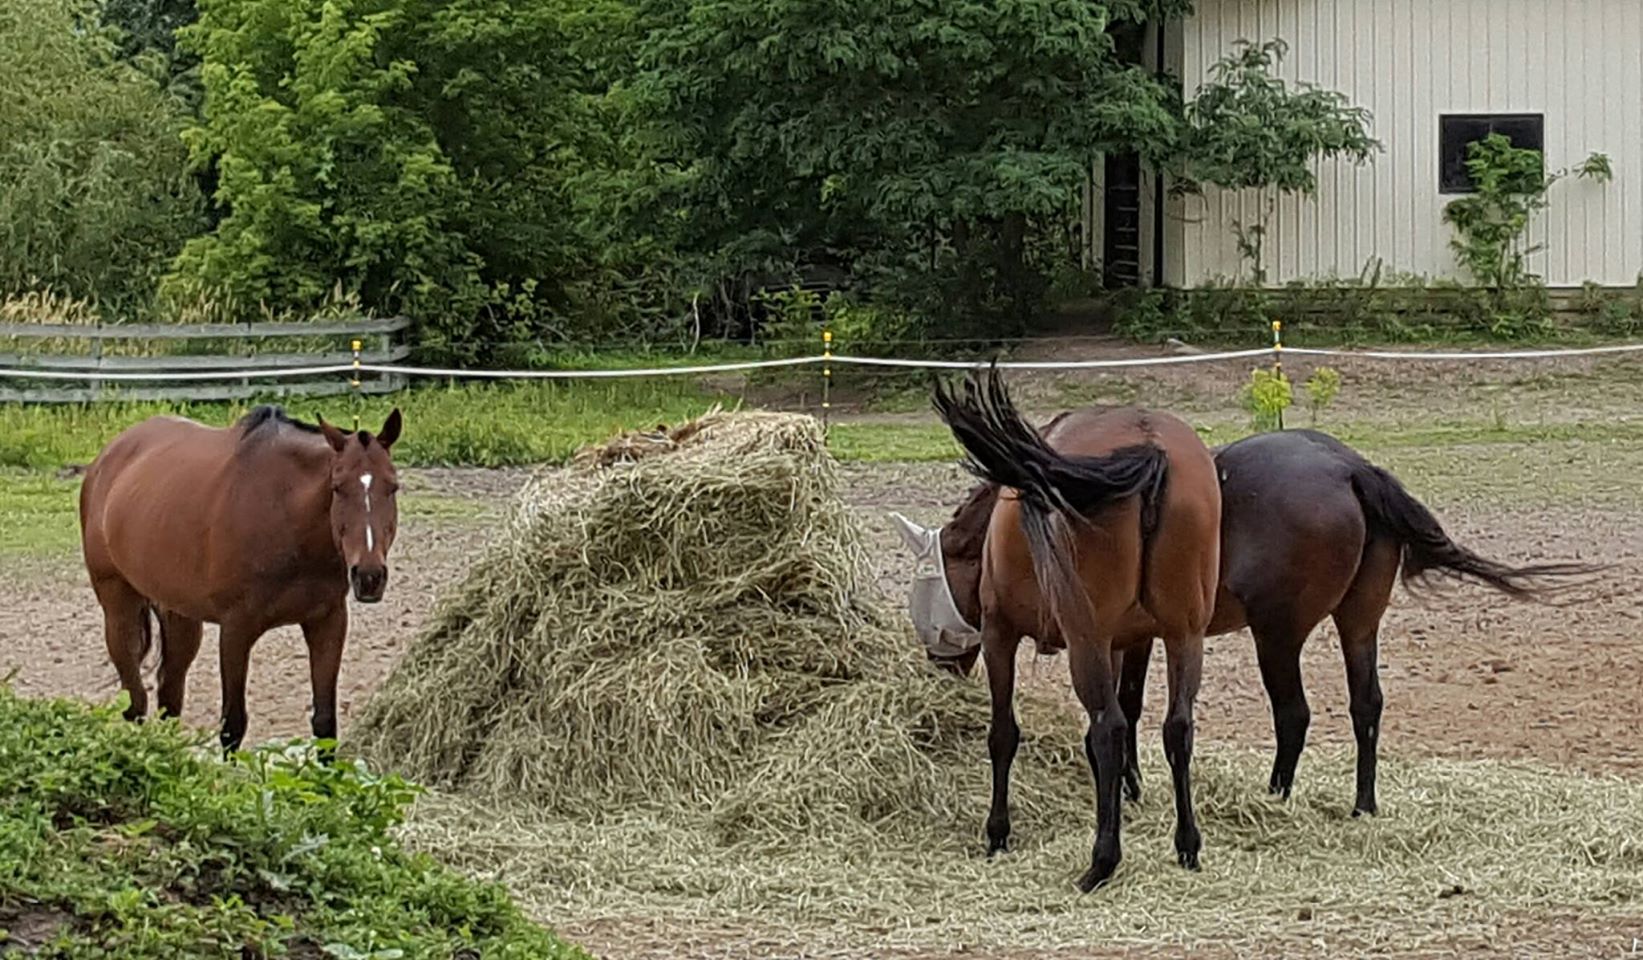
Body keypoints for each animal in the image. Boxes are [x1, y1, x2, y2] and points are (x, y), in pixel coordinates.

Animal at [79, 405, 403, 754]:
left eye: (393, 486)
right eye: (338, 487)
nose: (369, 576)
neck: (285, 514)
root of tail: (106, 459)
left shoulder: (328, 622)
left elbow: (325, 723)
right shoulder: (236, 630)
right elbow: (233, 726)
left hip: (180, 616)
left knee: (169, 697)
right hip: (118, 608)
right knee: (136, 702)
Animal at [893, 426, 1597, 818]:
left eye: (931, 575)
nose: (938, 662)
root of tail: (1352, 468)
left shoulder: (1118, 636)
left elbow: (1123, 708)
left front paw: (1128, 788)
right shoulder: (1141, 637)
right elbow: (1132, 705)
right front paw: (1133, 786)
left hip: (1277, 634)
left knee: (1295, 715)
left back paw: (1275, 795)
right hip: (1358, 624)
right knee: (1366, 705)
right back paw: (1362, 803)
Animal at [932, 367, 1221, 891]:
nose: (937, 664)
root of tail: (1149, 445)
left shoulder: (1000, 634)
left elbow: (1004, 733)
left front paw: (997, 832)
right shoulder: (1121, 644)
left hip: (1085, 640)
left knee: (1110, 727)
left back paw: (1102, 860)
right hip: (1184, 635)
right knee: (1177, 728)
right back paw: (1187, 843)